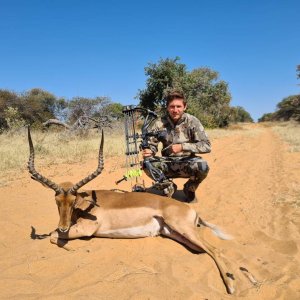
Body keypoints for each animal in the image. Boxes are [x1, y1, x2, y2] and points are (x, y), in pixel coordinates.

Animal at [27, 127, 236, 294]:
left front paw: (70, 247)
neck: (86, 205)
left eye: (72, 201)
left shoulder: (86, 229)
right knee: (207, 251)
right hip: (175, 234)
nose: (64, 227)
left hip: (183, 228)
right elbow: (53, 235)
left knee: (216, 250)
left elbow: (53, 236)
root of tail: (190, 210)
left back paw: (232, 286)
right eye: (56, 201)